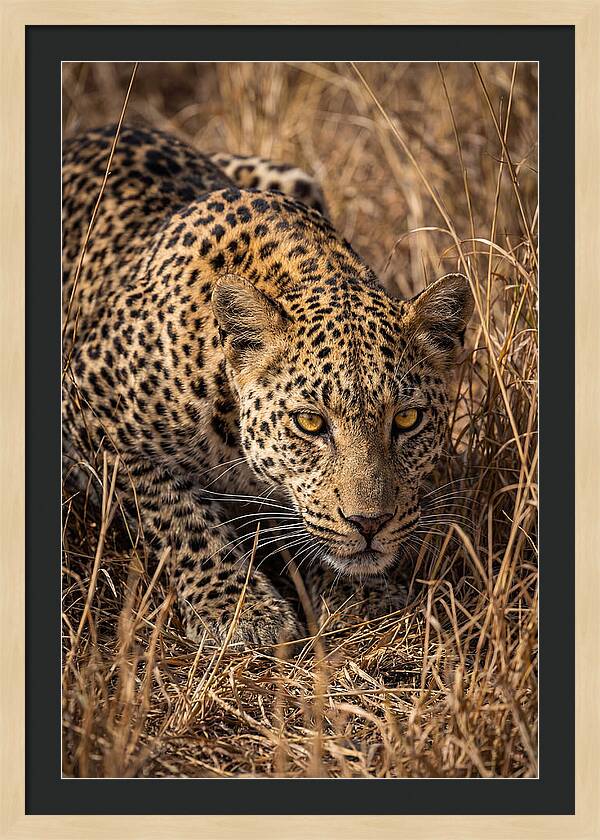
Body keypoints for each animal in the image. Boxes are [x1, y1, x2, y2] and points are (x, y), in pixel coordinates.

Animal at [62, 124, 473, 648]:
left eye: (407, 419)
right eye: (310, 423)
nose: (370, 524)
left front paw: (363, 596)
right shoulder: (86, 405)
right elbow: (176, 514)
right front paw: (241, 610)